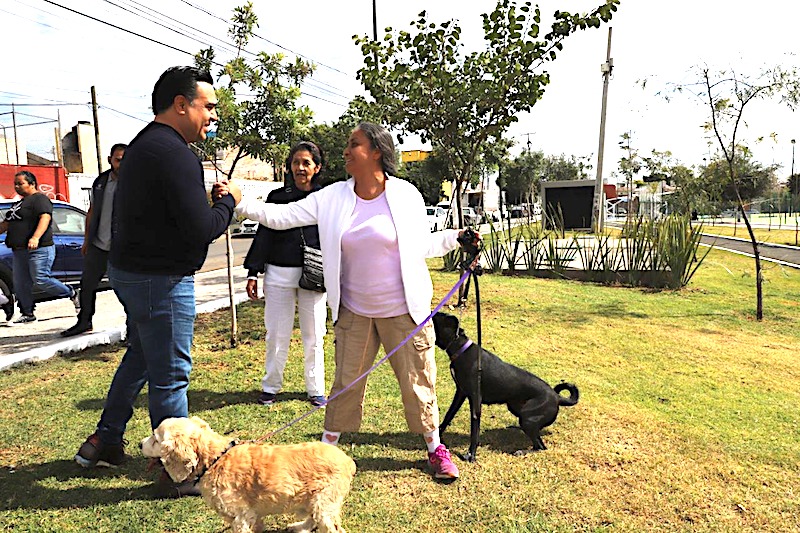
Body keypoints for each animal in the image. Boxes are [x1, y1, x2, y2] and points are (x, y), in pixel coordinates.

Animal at [141, 416, 356, 532]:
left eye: (155, 439)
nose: (139, 444)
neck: (216, 459)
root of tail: (348, 461)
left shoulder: (241, 516)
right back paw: (300, 527)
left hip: (325, 503)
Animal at [434, 312, 580, 462]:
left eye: (433, 318)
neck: (460, 348)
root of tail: (557, 397)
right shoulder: (461, 392)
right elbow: (448, 415)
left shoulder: (475, 400)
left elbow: (475, 430)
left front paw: (471, 455)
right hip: (516, 408)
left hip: (527, 418)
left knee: (540, 446)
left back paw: (521, 451)